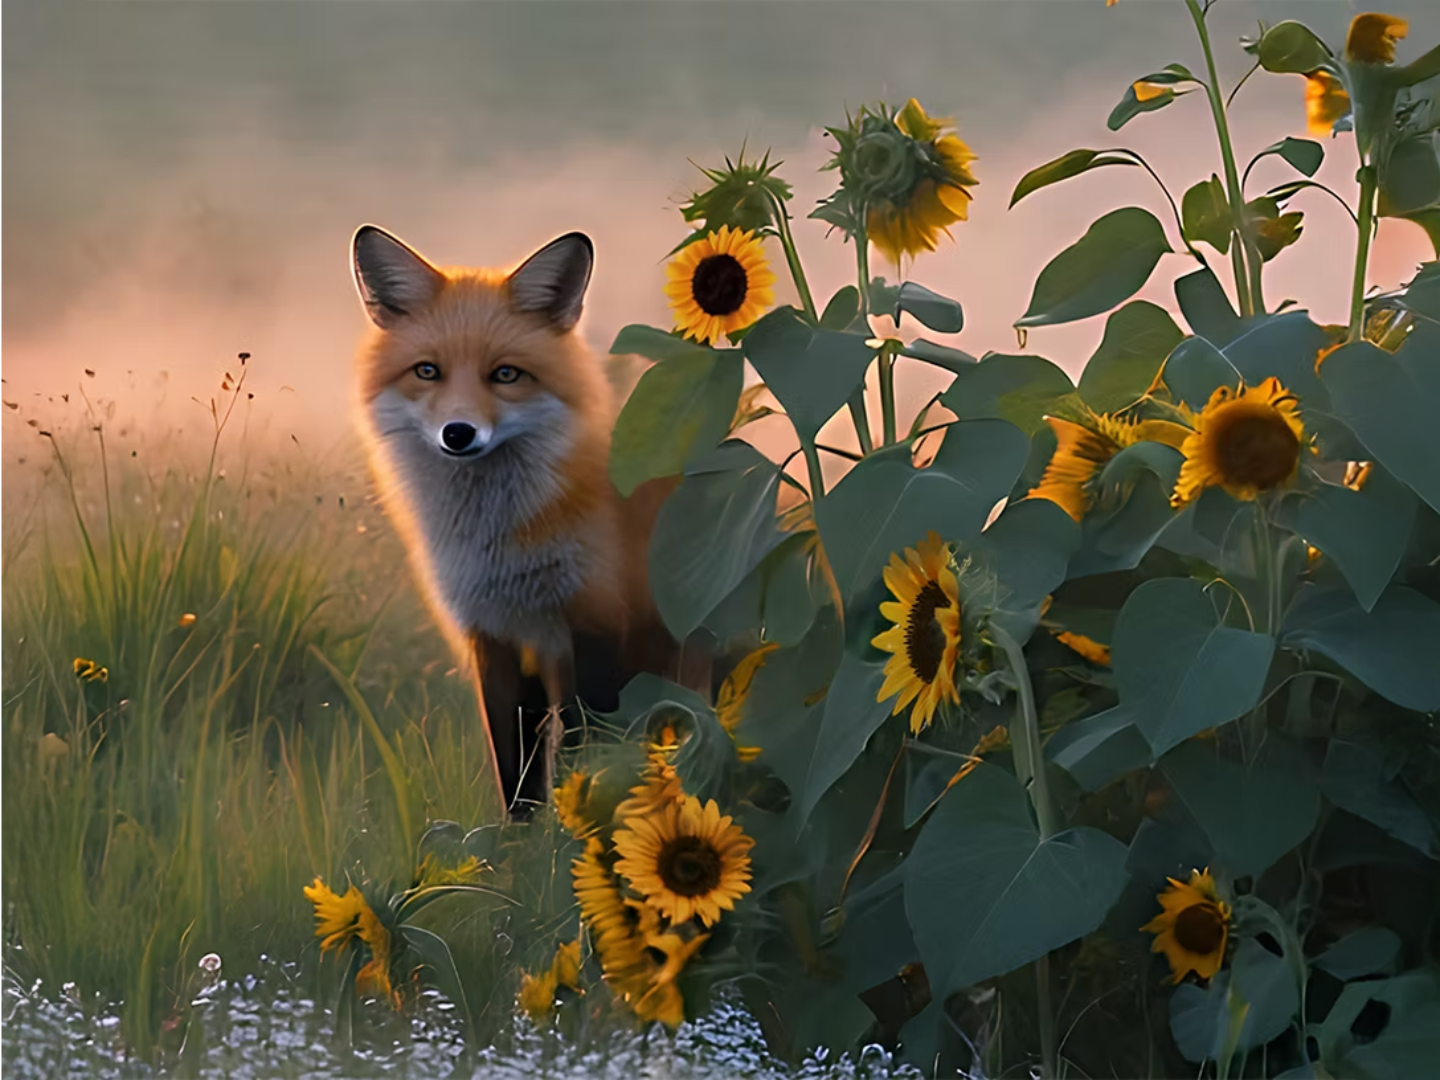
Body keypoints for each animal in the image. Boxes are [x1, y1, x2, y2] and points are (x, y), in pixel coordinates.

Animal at [349, 225, 710, 820]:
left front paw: (574, 836)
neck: (500, 544)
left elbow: (582, 760)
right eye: (428, 371)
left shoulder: (595, 633)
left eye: (506, 375)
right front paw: (519, 845)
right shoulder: (495, 639)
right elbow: (517, 781)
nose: (458, 433)